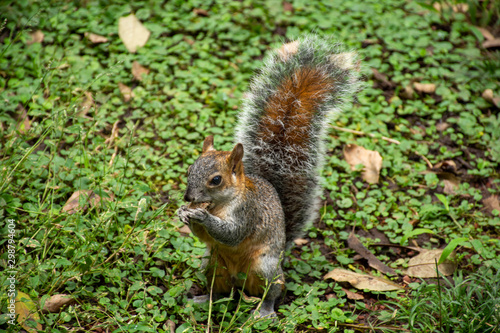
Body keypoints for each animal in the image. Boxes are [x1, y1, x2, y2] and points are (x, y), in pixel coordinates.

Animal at [178, 34, 362, 316]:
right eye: (190, 169)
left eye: (216, 180)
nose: (188, 197)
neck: (221, 203)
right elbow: (203, 237)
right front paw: (182, 212)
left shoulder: (248, 212)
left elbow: (233, 234)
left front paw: (201, 215)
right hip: (212, 264)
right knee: (220, 291)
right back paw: (202, 299)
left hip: (265, 269)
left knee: (271, 293)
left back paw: (264, 311)